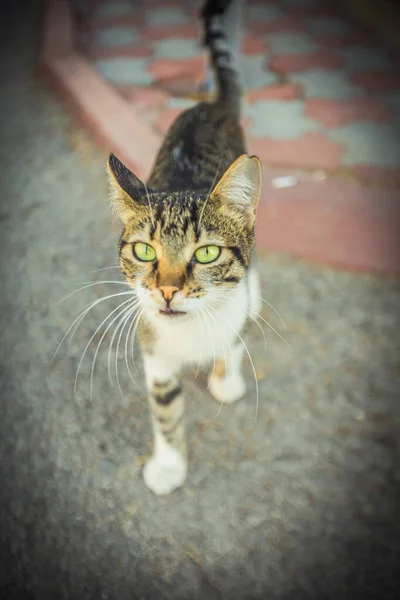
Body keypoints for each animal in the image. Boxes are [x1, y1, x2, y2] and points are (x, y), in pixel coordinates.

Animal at [106, 0, 262, 494]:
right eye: (144, 252)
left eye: (207, 253)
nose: (167, 290)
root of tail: (210, 106)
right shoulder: (154, 353)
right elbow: (166, 410)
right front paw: (170, 466)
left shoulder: (232, 303)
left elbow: (233, 338)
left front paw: (226, 377)